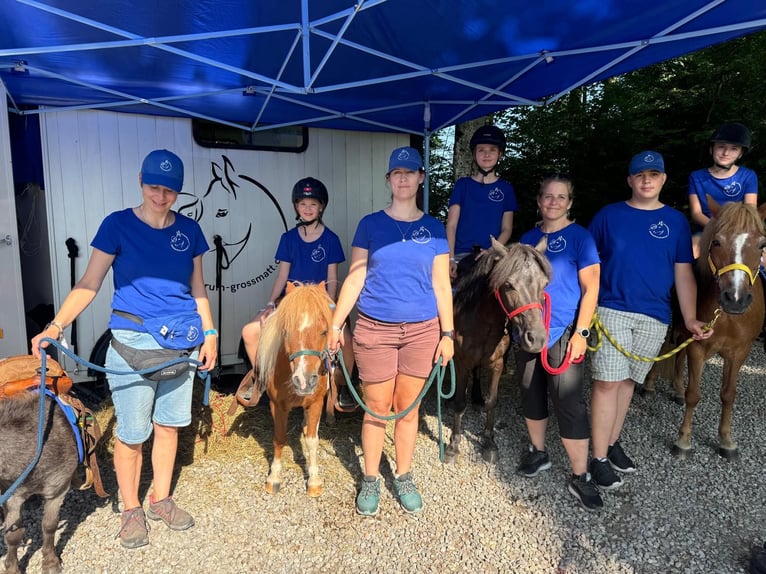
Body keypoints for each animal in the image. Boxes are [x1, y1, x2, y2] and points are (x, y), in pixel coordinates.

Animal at [0, 394, 79, 574]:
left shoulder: (58, 489)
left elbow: (49, 525)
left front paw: (50, 562)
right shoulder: (12, 497)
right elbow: (12, 536)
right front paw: (12, 568)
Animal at [258, 282, 332, 498]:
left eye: (324, 331)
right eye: (287, 331)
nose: (304, 381)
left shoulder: (316, 403)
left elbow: (312, 440)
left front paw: (314, 480)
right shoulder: (278, 406)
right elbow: (279, 438)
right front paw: (274, 477)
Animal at [444, 236, 552, 466]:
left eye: (545, 284)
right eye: (508, 285)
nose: (537, 339)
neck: (481, 320)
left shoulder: (497, 363)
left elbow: (491, 402)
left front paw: (489, 443)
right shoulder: (462, 362)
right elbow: (459, 403)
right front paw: (453, 446)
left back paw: (476, 397)